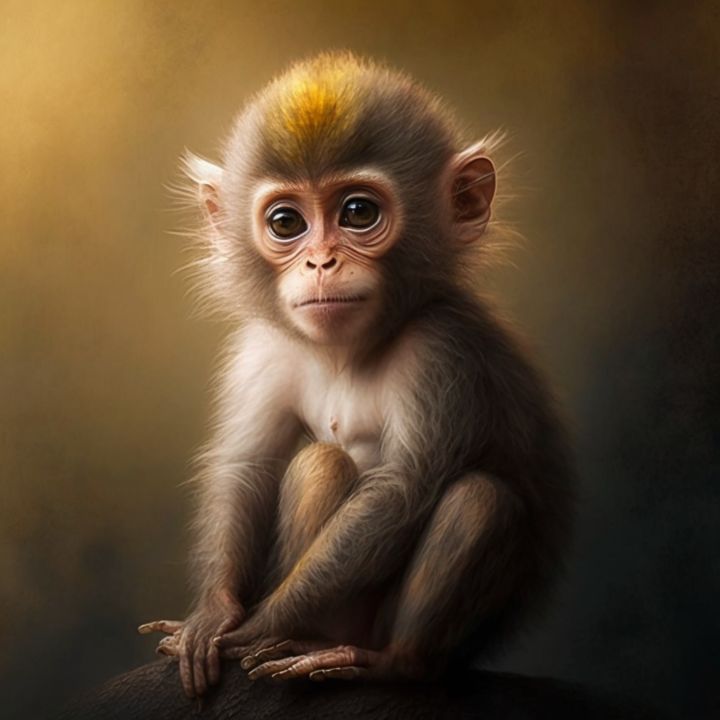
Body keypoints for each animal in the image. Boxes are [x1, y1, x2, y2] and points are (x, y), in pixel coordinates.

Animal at [138, 52, 574, 699]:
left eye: (358, 213)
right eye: (286, 223)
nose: (321, 263)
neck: (348, 351)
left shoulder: (442, 346)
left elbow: (403, 489)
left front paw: (253, 627)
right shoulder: (263, 347)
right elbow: (246, 464)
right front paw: (214, 615)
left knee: (480, 501)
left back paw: (385, 662)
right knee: (320, 462)